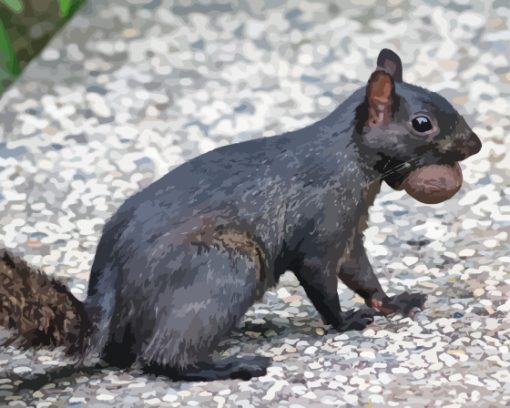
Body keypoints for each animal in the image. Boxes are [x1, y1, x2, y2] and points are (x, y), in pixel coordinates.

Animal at [0, 48, 480, 382]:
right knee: (161, 357)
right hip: (225, 266)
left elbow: (361, 274)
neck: (349, 157)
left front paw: (393, 302)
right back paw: (230, 366)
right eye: (422, 124)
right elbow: (321, 279)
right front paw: (345, 321)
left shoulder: (350, 231)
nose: (475, 145)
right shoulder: (323, 221)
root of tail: (108, 307)